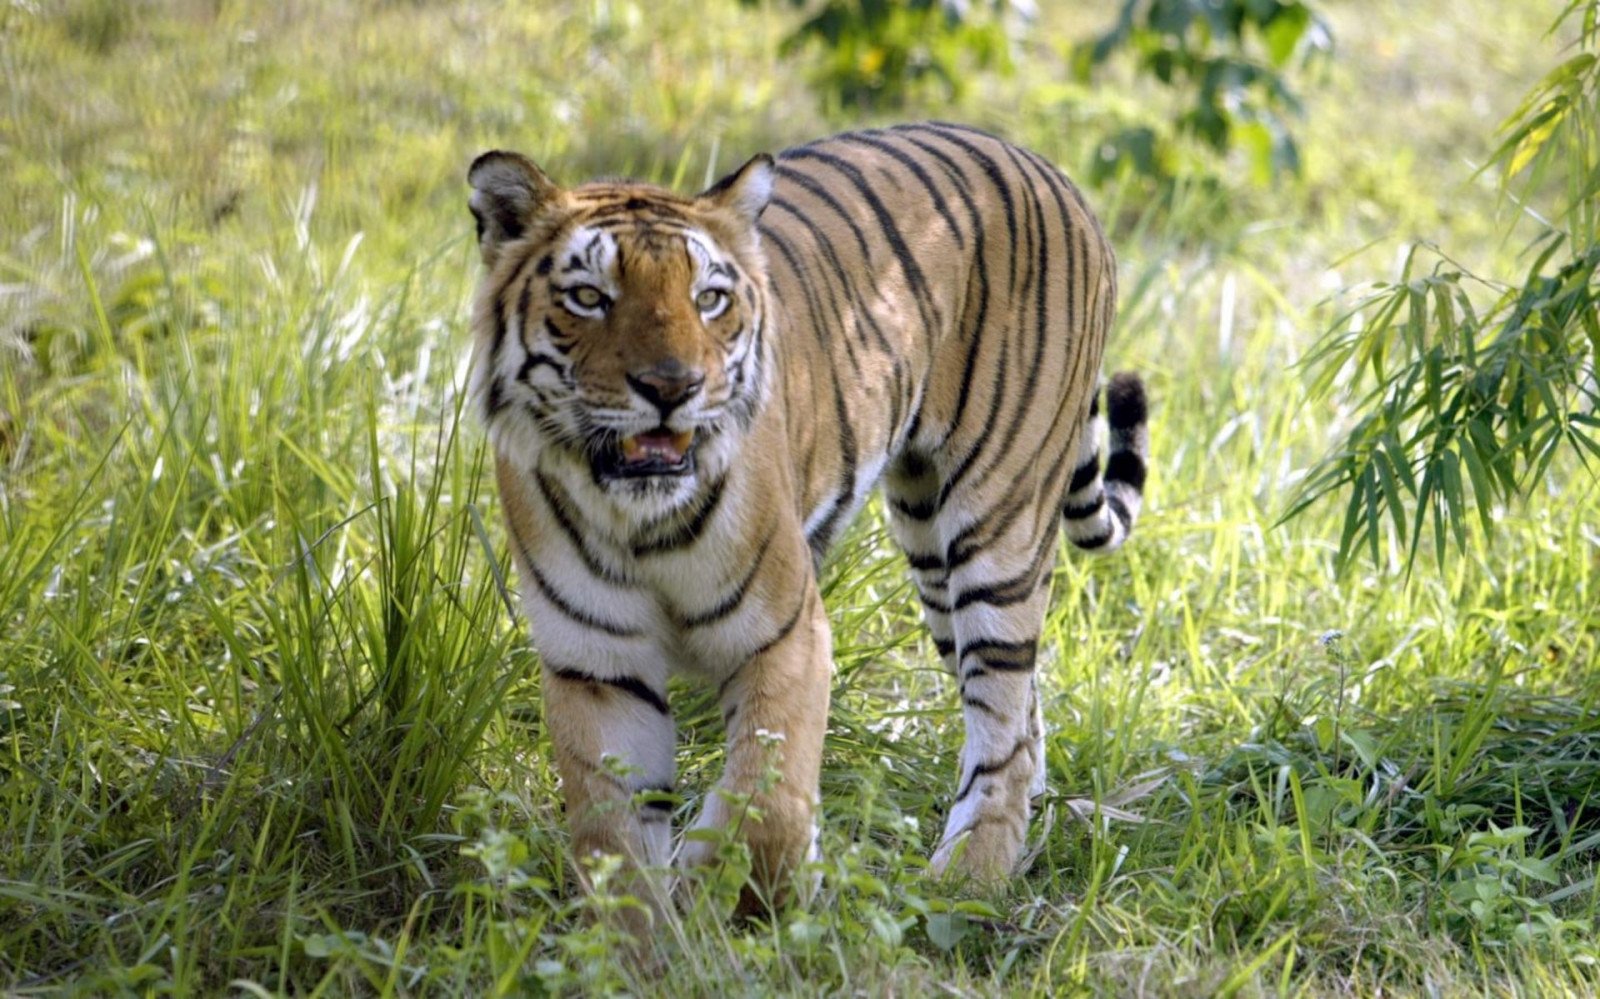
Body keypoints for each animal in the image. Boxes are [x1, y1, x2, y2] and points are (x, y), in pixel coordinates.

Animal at [466, 121, 1149, 927]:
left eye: (709, 298)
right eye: (588, 297)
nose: (672, 387)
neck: (640, 518)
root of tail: (1050, 168)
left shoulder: (784, 633)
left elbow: (766, 794)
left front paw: (738, 894)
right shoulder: (598, 663)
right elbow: (615, 839)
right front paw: (643, 939)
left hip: (997, 523)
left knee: (1003, 718)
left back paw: (971, 875)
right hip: (929, 540)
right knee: (1023, 718)